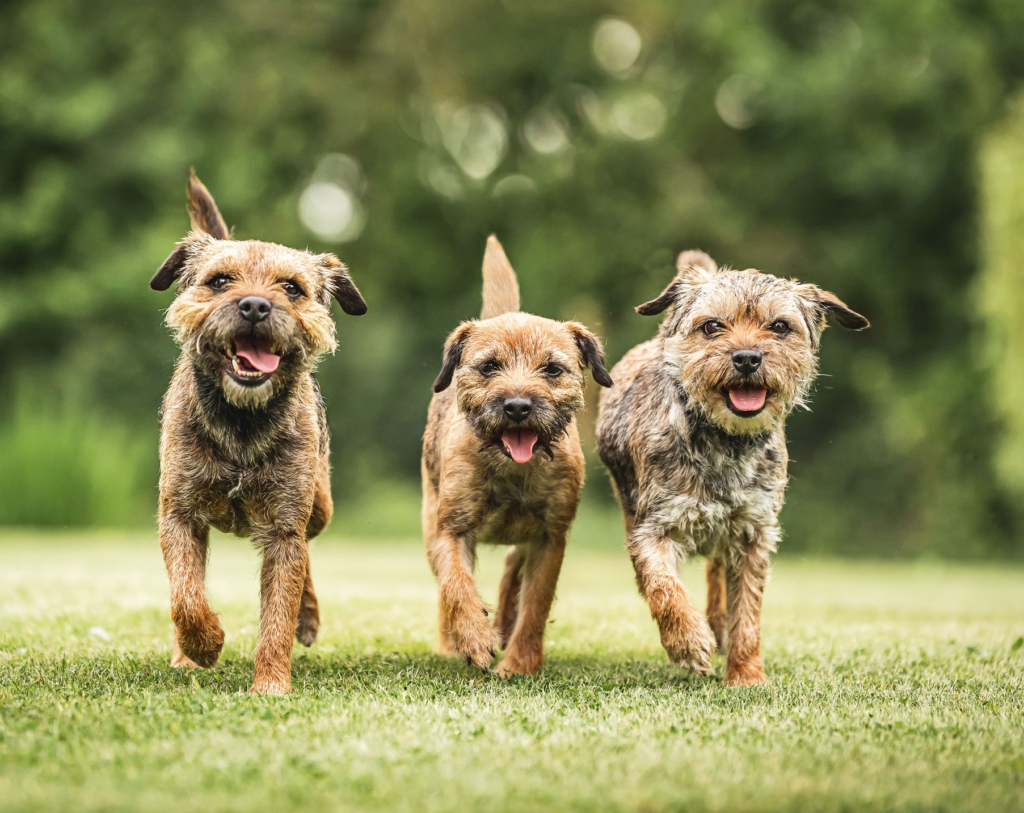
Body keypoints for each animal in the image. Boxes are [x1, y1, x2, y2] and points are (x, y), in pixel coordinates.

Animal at [148, 167, 364, 692]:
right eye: (219, 281)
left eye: (292, 288)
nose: (253, 306)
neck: (242, 424)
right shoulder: (178, 515)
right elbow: (186, 595)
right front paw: (203, 646)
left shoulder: (285, 527)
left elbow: (278, 615)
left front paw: (269, 686)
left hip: (319, 506)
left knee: (307, 557)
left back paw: (308, 617)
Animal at [419, 237, 610, 675]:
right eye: (489, 366)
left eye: (552, 370)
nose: (518, 406)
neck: (513, 472)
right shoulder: (450, 530)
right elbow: (456, 584)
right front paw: (474, 638)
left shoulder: (549, 538)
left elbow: (536, 603)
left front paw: (520, 663)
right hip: (429, 515)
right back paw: (453, 641)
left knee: (511, 571)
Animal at [598, 248, 868, 683]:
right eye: (712, 326)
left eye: (779, 327)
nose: (747, 357)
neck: (726, 442)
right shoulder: (654, 527)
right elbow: (663, 586)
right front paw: (688, 641)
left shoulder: (753, 533)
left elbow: (748, 612)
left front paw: (746, 675)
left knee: (717, 573)